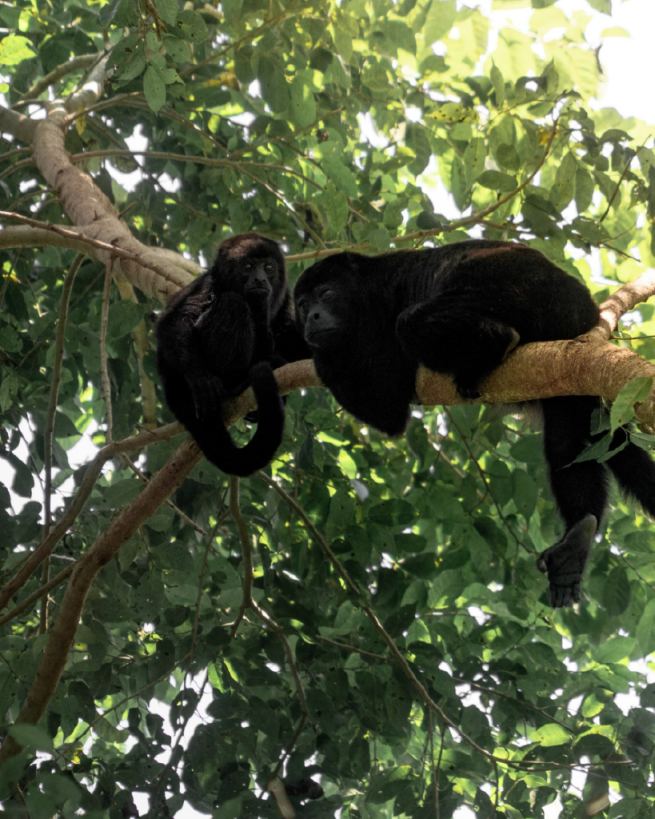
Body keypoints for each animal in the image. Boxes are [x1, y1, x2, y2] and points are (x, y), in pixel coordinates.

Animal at [156, 233, 307, 476]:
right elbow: (175, 322)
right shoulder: (208, 283)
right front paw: (200, 378)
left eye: (268, 268)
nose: (260, 280)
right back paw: (235, 384)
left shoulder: (285, 300)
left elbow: (299, 346)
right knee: (232, 304)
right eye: (248, 266)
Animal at [294, 240, 655, 606]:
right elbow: (386, 407)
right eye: (302, 305)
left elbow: (390, 396)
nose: (311, 318)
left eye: (325, 294)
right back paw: (577, 538)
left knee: (413, 321)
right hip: (567, 376)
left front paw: (314, 355)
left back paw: (498, 341)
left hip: (517, 285)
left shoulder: (377, 312)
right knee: (568, 445)